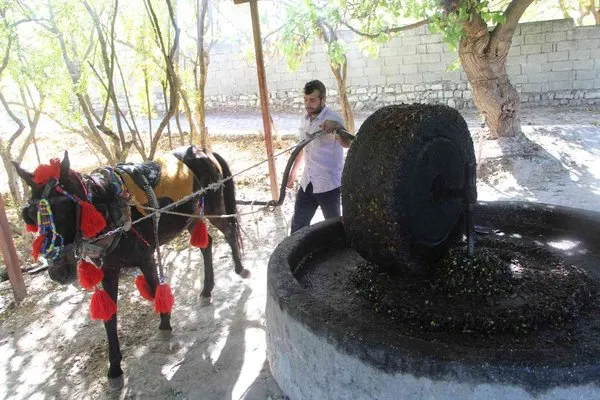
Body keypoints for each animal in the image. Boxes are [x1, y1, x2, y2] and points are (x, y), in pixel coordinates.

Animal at [13, 145, 248, 390]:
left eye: (65, 211)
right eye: (29, 216)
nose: (58, 271)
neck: (110, 209)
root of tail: (202, 149)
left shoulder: (146, 257)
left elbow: (156, 291)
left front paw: (165, 329)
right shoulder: (109, 269)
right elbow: (109, 317)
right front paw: (115, 369)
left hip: (213, 206)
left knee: (229, 231)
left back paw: (240, 268)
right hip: (190, 217)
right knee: (207, 244)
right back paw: (206, 290)